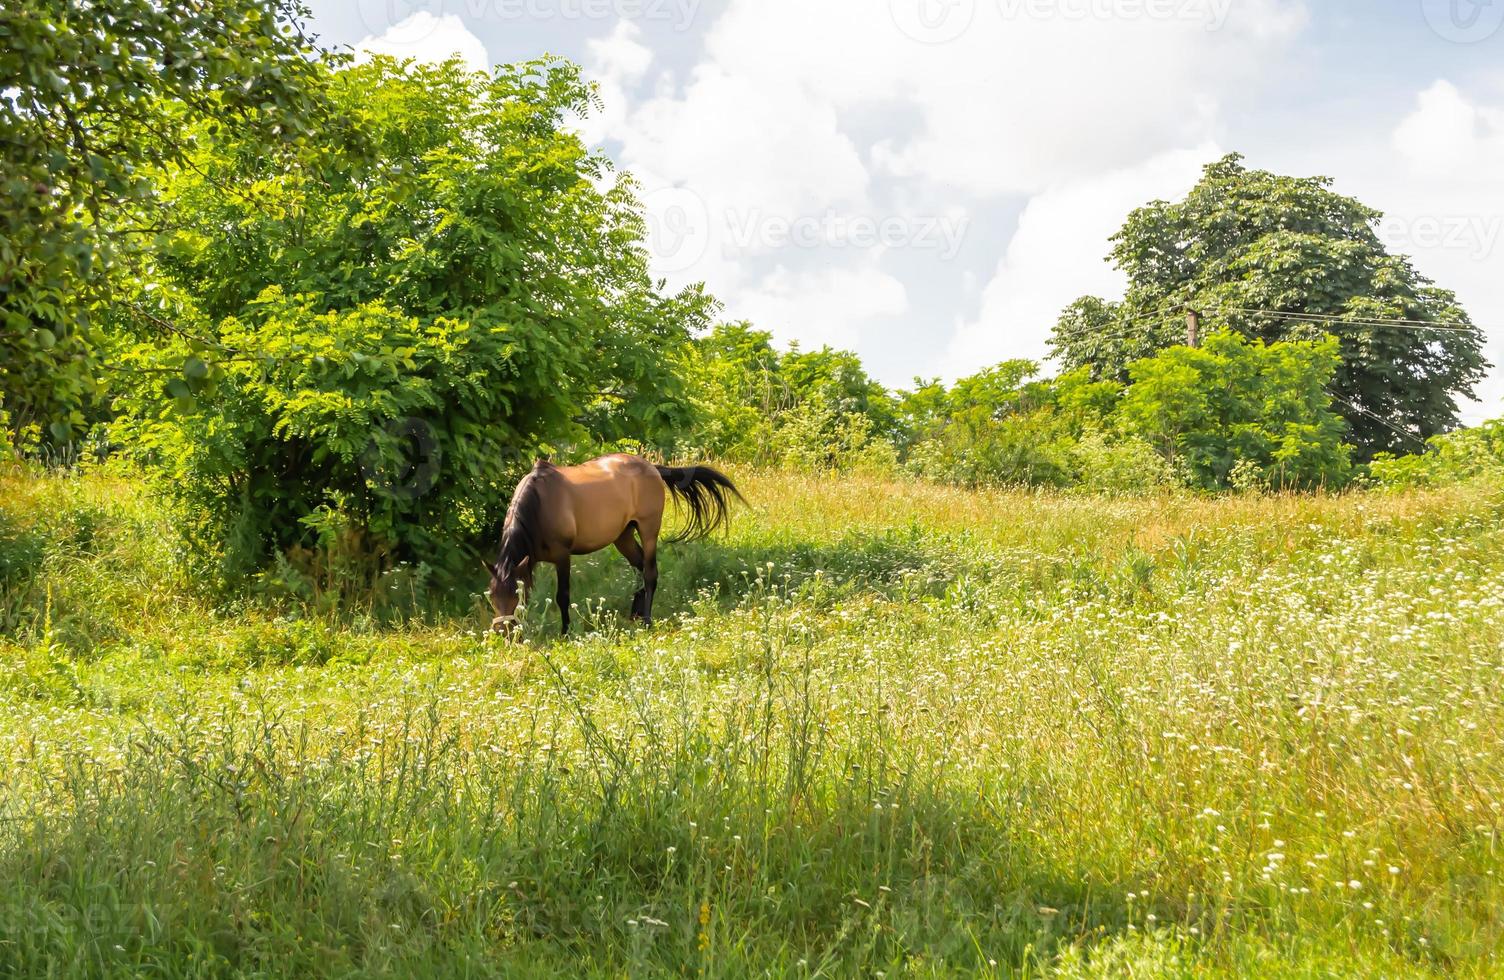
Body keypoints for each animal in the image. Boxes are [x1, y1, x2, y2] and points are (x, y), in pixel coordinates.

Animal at [481, 453, 739, 634]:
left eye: (515, 594)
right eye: (491, 595)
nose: (502, 631)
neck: (540, 505)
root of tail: (652, 468)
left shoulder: (563, 557)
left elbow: (562, 595)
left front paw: (565, 631)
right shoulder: (530, 562)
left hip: (648, 529)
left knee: (650, 573)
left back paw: (646, 620)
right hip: (623, 536)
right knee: (639, 567)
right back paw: (634, 614)